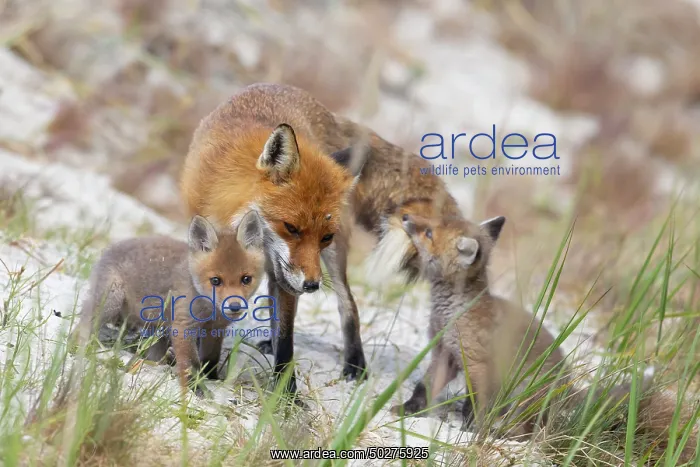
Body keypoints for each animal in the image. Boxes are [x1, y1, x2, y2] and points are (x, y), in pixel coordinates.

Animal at [72, 211, 265, 395]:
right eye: (216, 281)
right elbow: (191, 363)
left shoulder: (215, 330)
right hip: (111, 302)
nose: (235, 306)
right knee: (80, 329)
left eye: (246, 279)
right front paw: (198, 388)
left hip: (156, 328)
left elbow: (211, 359)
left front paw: (212, 378)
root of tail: (110, 248)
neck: (210, 309)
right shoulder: (183, 326)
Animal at [179, 83, 464, 396]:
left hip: (334, 259)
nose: (312, 285)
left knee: (348, 304)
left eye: (324, 236)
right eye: (291, 228)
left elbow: (287, 340)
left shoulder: (289, 277)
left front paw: (286, 394)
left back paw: (355, 363)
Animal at [391, 212, 698, 462]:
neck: (454, 311)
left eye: (428, 233)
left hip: (523, 397)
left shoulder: (477, 364)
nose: (405, 216)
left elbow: (476, 404)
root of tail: (567, 383)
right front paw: (408, 409)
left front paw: (471, 429)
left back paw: (503, 434)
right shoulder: (445, 353)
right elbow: (424, 386)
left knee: (527, 433)